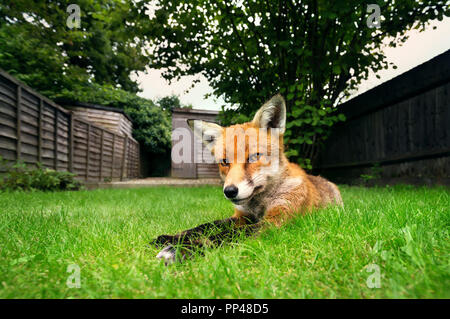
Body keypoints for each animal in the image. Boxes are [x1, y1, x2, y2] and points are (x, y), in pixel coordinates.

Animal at [153, 94, 342, 264]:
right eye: (224, 162)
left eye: (253, 157)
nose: (229, 191)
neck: (259, 205)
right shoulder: (241, 216)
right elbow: (205, 226)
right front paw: (172, 238)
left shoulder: (276, 220)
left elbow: (228, 234)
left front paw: (182, 250)